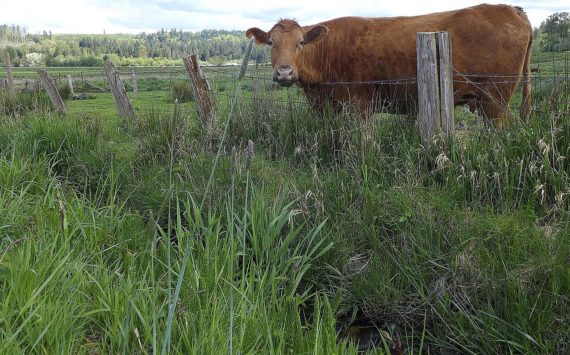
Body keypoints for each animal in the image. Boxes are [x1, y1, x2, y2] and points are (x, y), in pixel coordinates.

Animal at [246, 3, 532, 129]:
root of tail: (511, 8)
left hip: (495, 98)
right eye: (270, 42)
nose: (284, 72)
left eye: (301, 42)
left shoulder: (359, 105)